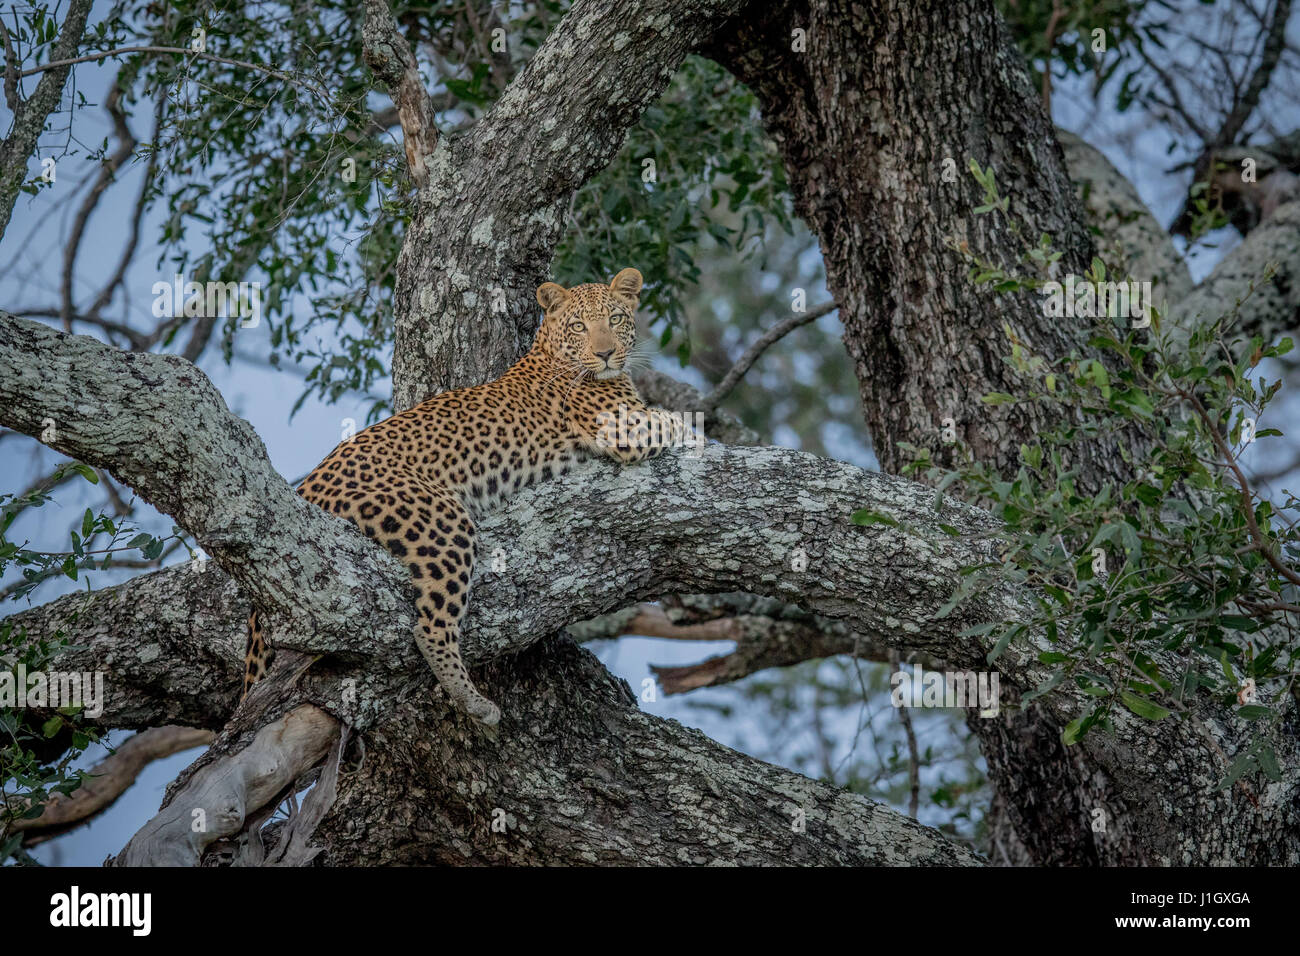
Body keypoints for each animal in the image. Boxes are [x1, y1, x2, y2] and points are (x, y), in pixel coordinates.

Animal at [242, 267, 693, 727]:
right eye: (579, 326)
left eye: (615, 319)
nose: (604, 354)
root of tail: (307, 485)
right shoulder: (622, 428)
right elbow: (675, 420)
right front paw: (693, 430)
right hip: (442, 520)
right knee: (429, 626)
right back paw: (475, 703)